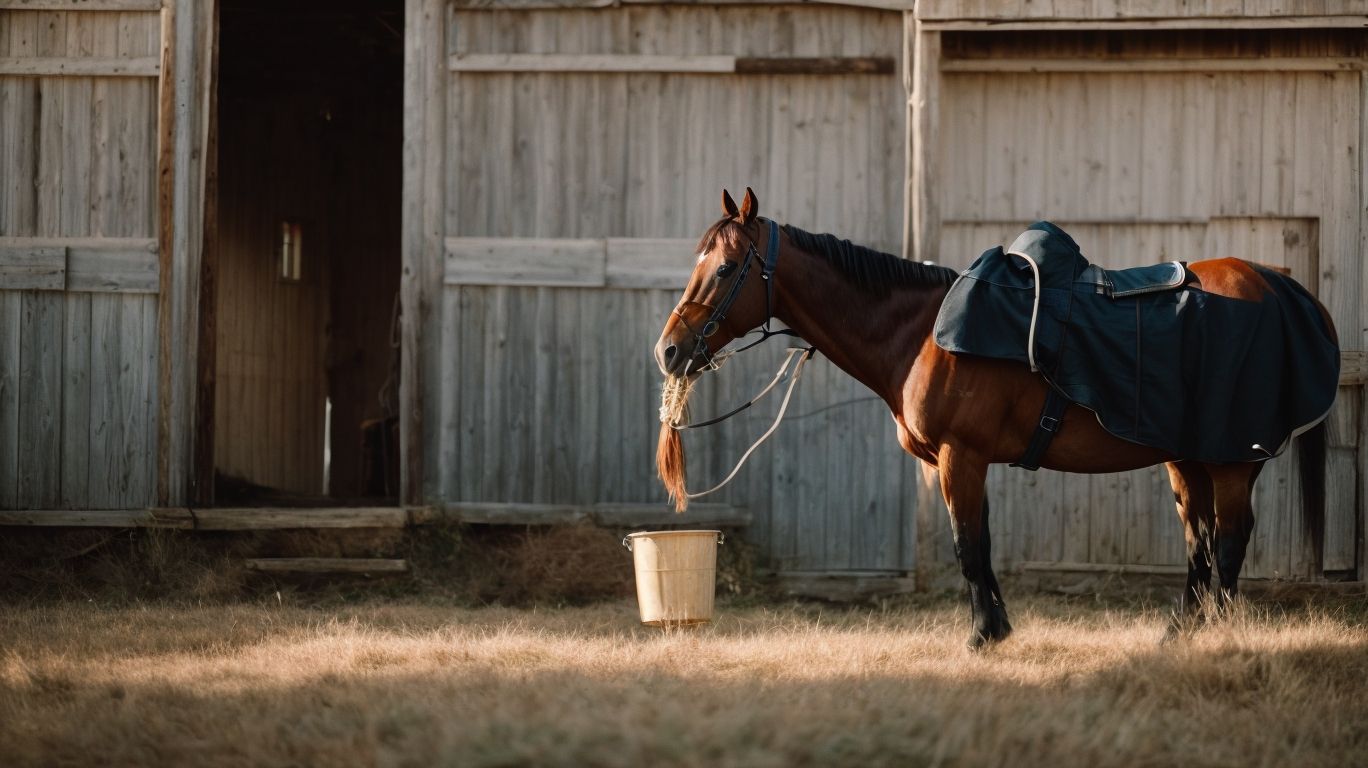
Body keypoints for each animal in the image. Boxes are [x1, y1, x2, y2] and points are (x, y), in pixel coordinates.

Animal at [654, 188, 1338, 649]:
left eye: (724, 268)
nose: (669, 351)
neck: (922, 333)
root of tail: (1282, 288)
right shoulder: (963, 462)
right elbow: (980, 544)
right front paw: (998, 626)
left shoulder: (962, 456)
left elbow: (967, 546)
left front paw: (983, 635)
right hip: (1186, 457)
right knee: (1199, 541)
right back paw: (1180, 634)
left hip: (1230, 461)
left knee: (1229, 541)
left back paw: (1216, 633)